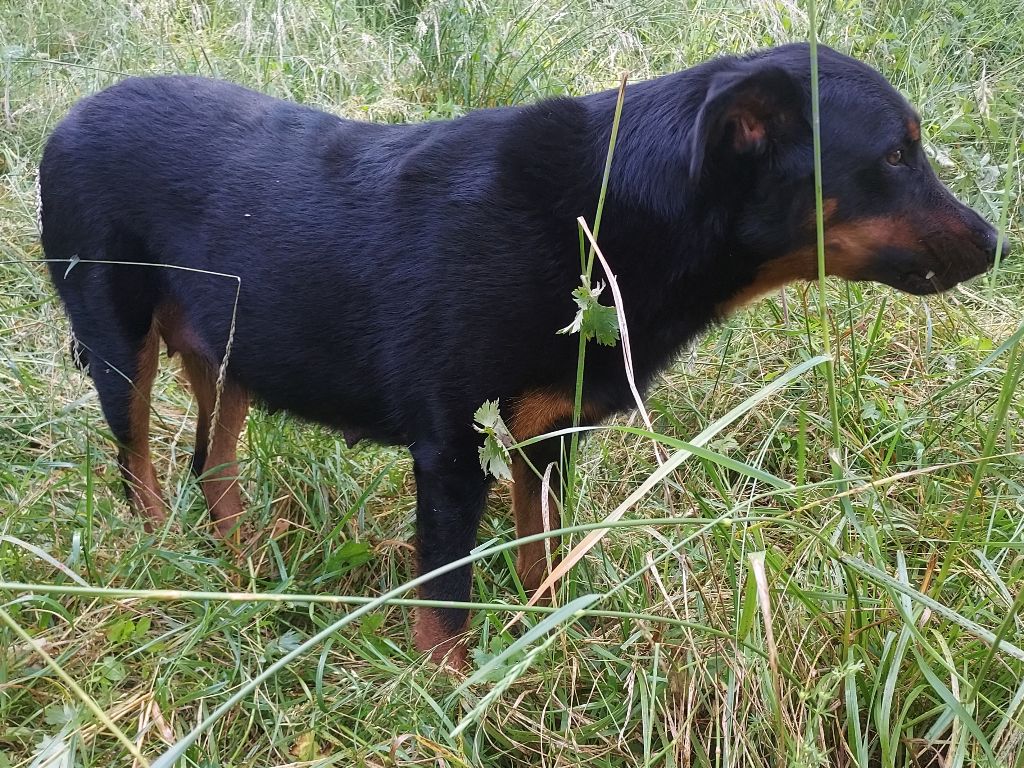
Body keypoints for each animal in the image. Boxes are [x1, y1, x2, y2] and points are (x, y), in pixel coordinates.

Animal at [41, 43, 1007, 667]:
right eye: (895, 155)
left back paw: (242, 568)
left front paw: (551, 638)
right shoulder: (450, 449)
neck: (609, 213)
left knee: (212, 463)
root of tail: (70, 114)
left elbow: (545, 554)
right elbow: (447, 598)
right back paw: (166, 561)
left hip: (232, 348)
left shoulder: (547, 434)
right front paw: (450, 698)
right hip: (119, 342)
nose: (997, 242)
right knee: (136, 460)